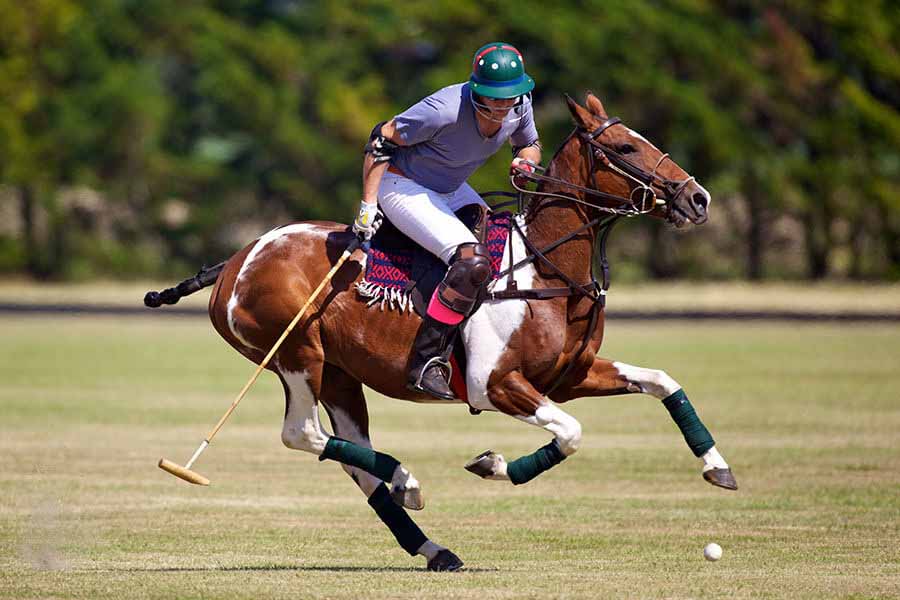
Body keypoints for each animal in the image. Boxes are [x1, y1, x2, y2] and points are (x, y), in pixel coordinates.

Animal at [171, 94, 740, 572]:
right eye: (624, 147)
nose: (699, 198)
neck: (545, 270)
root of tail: (237, 259)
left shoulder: (570, 376)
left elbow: (662, 381)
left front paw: (718, 469)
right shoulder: (496, 384)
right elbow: (572, 432)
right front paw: (493, 464)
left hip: (339, 373)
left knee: (351, 456)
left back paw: (431, 541)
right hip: (295, 352)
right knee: (302, 433)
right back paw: (407, 478)